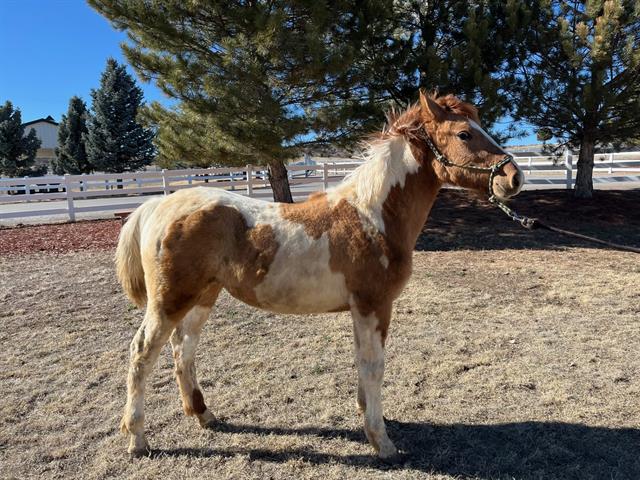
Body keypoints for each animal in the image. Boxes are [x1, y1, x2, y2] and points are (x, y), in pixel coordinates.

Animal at [116, 91, 524, 462]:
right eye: (464, 134)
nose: (514, 177)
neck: (371, 215)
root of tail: (157, 203)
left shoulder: (360, 310)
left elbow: (363, 363)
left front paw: (369, 418)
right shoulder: (373, 305)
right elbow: (374, 367)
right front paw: (383, 443)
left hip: (203, 296)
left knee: (183, 349)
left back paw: (205, 415)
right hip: (170, 301)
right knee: (142, 352)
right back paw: (137, 440)